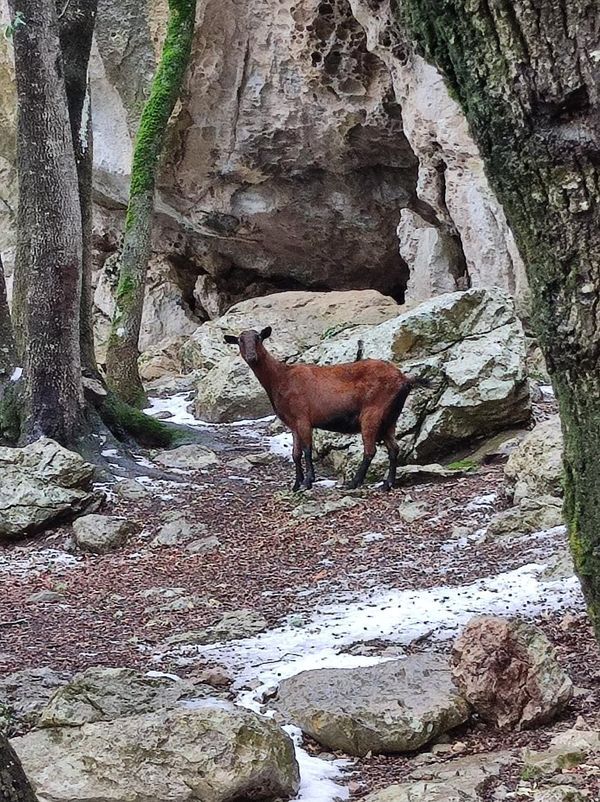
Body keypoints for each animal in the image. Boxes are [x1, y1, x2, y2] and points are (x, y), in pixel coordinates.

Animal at [224, 324, 422, 488]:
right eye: (240, 340)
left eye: (258, 337)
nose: (252, 357)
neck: (281, 378)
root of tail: (404, 379)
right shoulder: (292, 423)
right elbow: (295, 453)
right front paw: (296, 484)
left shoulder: (303, 417)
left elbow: (307, 450)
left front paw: (308, 481)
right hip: (390, 418)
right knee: (394, 449)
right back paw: (388, 484)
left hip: (373, 412)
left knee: (370, 450)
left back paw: (354, 483)